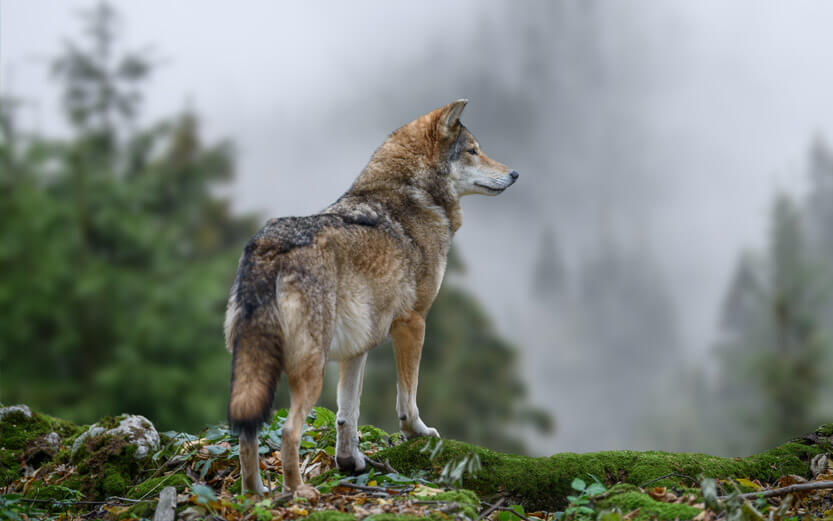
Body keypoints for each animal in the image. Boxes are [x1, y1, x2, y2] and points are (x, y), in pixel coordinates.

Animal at [224, 99, 518, 499]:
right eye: (473, 150)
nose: (514, 173)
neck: (413, 196)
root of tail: (269, 246)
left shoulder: (357, 348)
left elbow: (347, 414)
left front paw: (350, 462)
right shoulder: (413, 322)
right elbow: (408, 397)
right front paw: (417, 433)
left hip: (256, 367)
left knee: (247, 432)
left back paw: (256, 494)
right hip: (310, 370)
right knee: (288, 430)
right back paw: (298, 491)